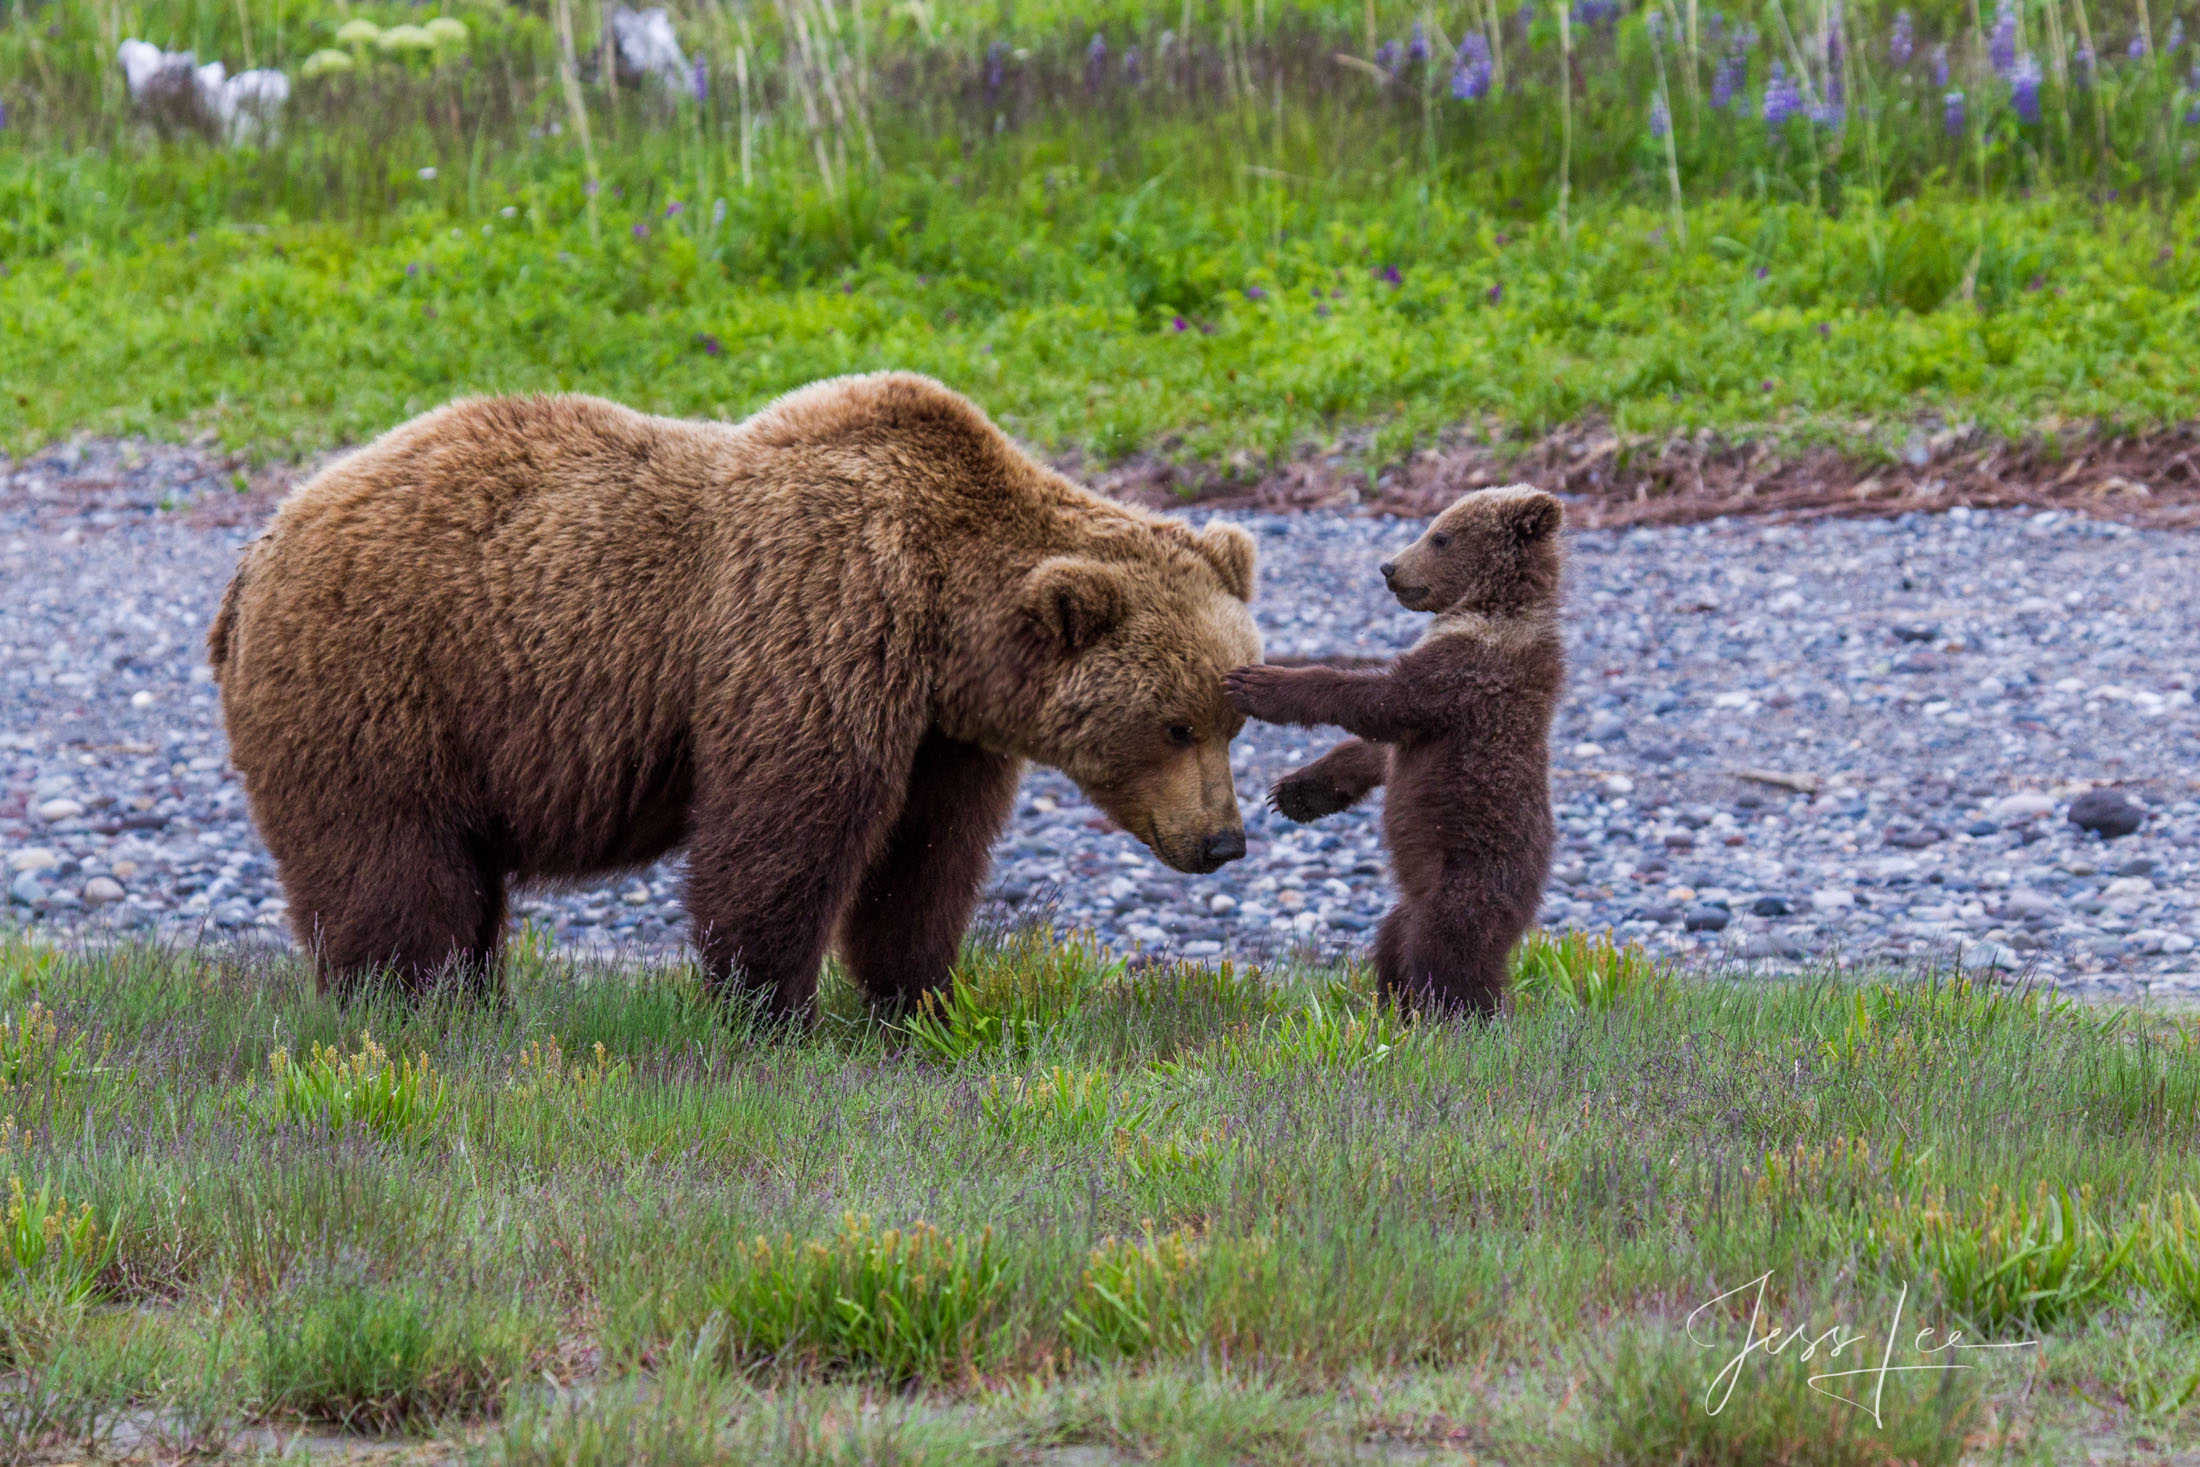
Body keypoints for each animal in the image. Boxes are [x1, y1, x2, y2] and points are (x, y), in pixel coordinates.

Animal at [218, 378, 1276, 1016]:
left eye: (1235, 720)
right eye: (1174, 723)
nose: (1223, 841)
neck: (943, 618)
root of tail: (259, 546)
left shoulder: (944, 731)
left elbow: (927, 858)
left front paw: (916, 996)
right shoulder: (819, 622)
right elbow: (786, 831)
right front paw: (770, 1007)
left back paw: (475, 1000)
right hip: (384, 683)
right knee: (392, 865)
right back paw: (409, 1005)